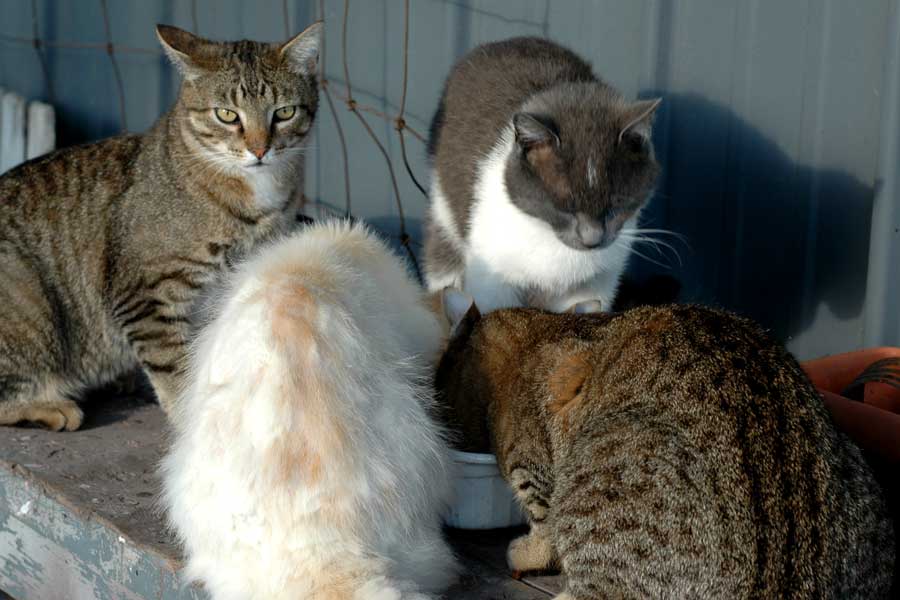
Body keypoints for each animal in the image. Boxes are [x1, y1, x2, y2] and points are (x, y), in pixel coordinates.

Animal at [0, 22, 321, 430]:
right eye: (226, 115)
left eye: (284, 112)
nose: (260, 149)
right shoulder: (147, 296)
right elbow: (178, 375)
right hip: (31, 303)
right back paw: (52, 406)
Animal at [423, 37, 661, 314]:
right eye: (563, 205)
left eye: (618, 203)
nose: (592, 240)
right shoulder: (492, 278)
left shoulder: (597, 282)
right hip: (443, 209)